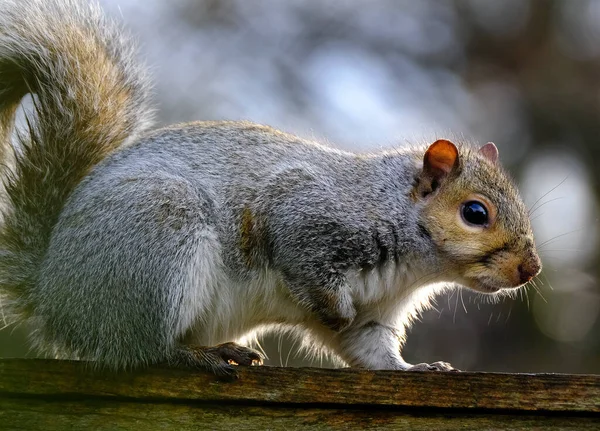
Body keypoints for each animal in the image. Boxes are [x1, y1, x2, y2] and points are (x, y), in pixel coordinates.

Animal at [0, 0, 544, 376]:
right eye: (475, 213)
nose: (530, 269)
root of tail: (52, 290)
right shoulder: (306, 214)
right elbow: (303, 264)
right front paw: (333, 309)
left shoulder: (377, 314)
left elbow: (371, 351)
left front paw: (417, 369)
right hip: (158, 241)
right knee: (140, 350)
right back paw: (196, 356)